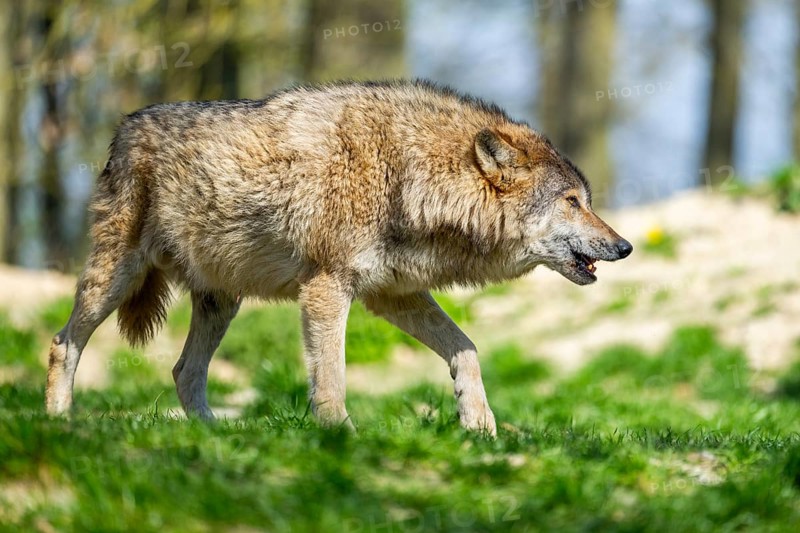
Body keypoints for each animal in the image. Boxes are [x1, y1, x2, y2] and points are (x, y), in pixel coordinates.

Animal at [45, 80, 632, 435]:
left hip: (221, 301)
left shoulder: (391, 297)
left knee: (184, 372)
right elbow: (332, 377)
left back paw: (215, 437)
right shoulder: (328, 288)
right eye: (573, 202)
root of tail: (124, 127)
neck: (407, 175)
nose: (624, 246)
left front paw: (480, 425)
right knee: (62, 343)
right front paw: (339, 435)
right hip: (115, 279)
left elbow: (466, 350)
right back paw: (59, 421)